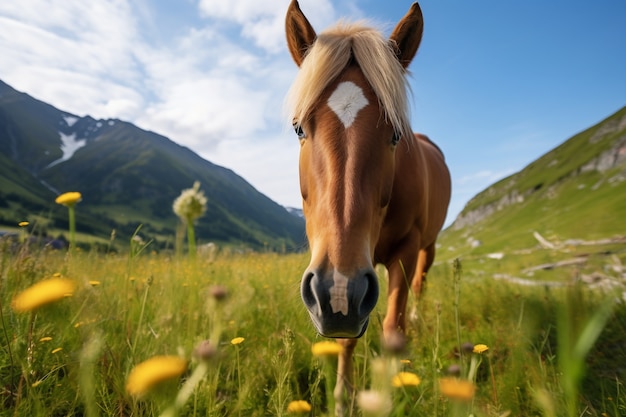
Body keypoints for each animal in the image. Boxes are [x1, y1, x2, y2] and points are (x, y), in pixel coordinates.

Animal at [282, 1, 448, 412]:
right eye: (299, 128)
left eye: (395, 134)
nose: (338, 287)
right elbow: (347, 337)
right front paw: (342, 400)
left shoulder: (404, 252)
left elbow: (392, 327)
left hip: (428, 247)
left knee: (419, 286)